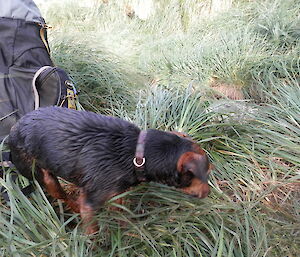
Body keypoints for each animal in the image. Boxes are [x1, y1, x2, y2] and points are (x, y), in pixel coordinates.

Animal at [8, 105, 212, 232]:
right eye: (207, 172)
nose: (209, 193)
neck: (137, 154)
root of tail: (12, 131)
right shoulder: (91, 202)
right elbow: (93, 231)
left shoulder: (115, 193)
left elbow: (121, 213)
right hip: (44, 177)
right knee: (63, 196)